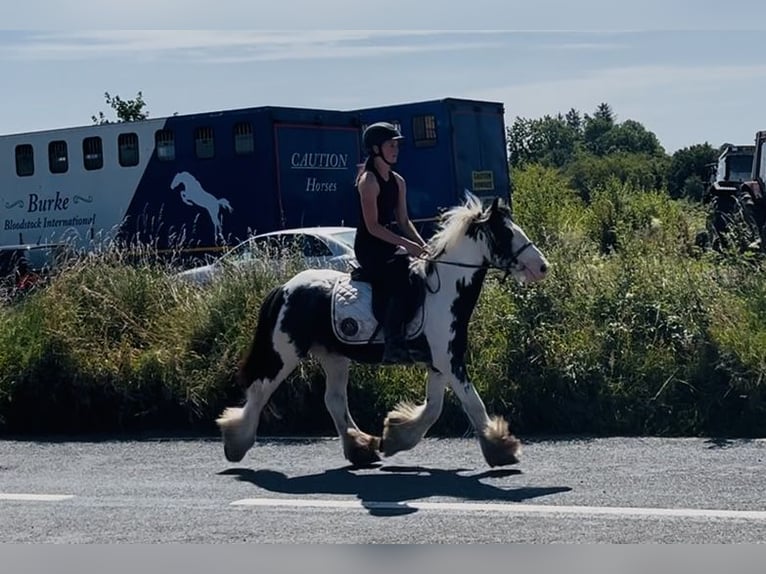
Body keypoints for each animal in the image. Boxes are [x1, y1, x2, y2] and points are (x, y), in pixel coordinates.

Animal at [217, 193, 550, 468]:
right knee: (260, 390)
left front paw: (395, 437)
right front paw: (501, 448)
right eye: (506, 232)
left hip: (334, 356)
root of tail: (285, 287)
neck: (443, 291)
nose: (542, 267)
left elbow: (434, 408)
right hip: (285, 352)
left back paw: (361, 448)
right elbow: (472, 404)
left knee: (334, 400)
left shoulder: (440, 362)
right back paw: (236, 442)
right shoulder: (450, 362)